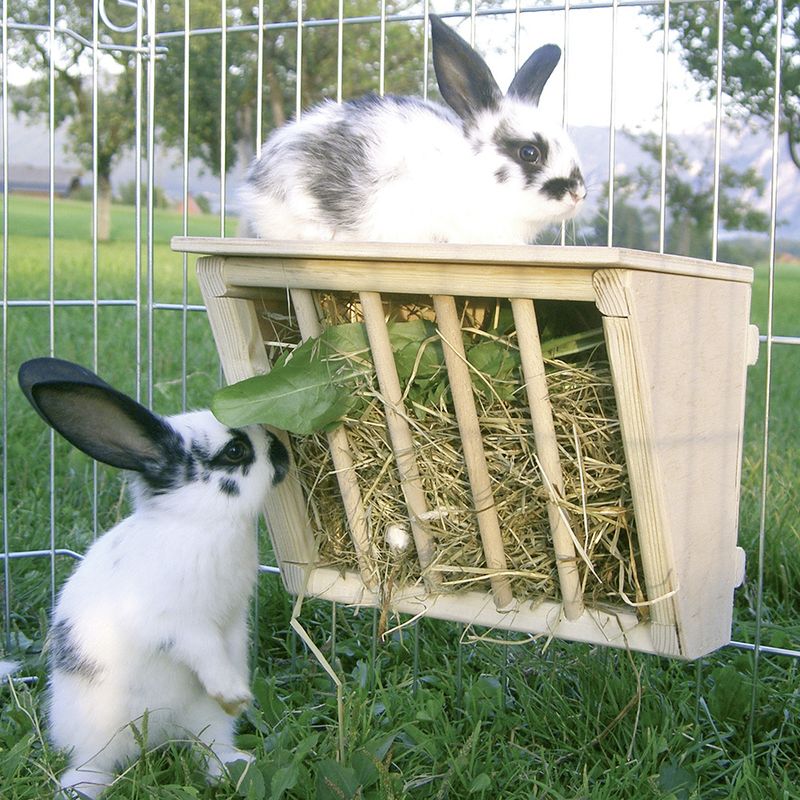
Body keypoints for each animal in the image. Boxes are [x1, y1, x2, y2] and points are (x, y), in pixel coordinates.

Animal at [18, 357, 289, 799]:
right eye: (235, 451)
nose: (283, 452)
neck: (200, 520)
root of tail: (159, 735)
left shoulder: (233, 621)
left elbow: (230, 650)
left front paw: (239, 693)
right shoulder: (176, 623)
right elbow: (204, 651)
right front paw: (234, 693)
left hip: (204, 720)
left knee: (208, 747)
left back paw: (236, 767)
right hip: (98, 735)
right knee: (93, 765)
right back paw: (81, 788)